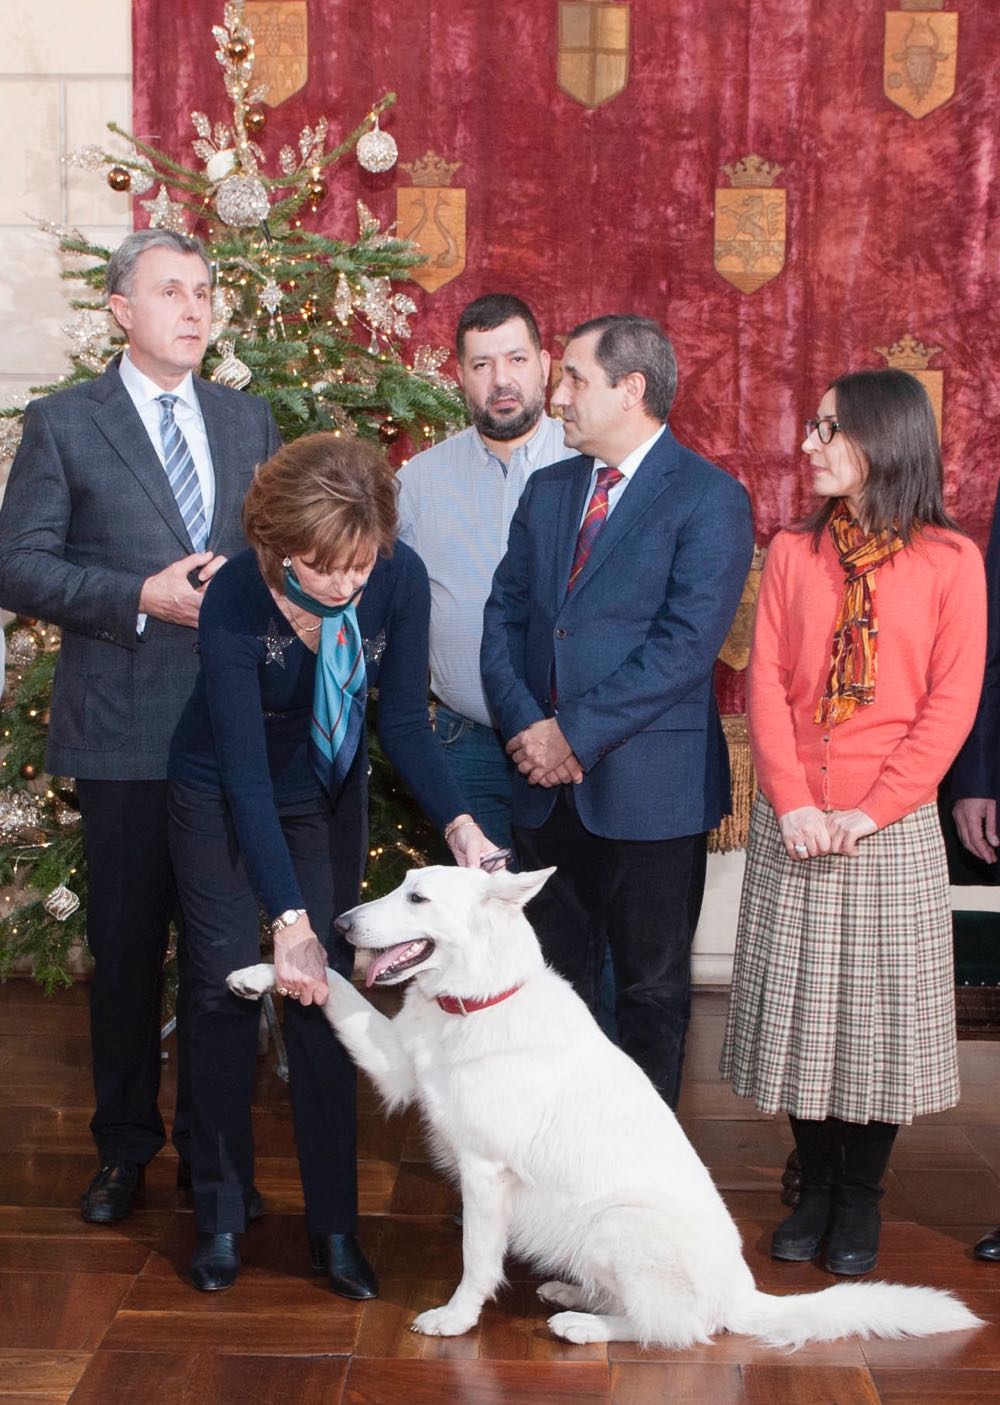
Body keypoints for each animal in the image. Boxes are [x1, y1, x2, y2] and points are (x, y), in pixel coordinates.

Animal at [224, 865, 977, 1348]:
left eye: (417, 896)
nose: (340, 921)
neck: (483, 1001)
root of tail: (745, 1294)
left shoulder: (484, 1174)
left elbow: (476, 1259)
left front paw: (455, 1320)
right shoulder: (396, 1067)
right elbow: (332, 986)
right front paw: (268, 969)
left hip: (617, 1223)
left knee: (678, 1330)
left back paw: (585, 1325)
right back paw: (573, 1294)